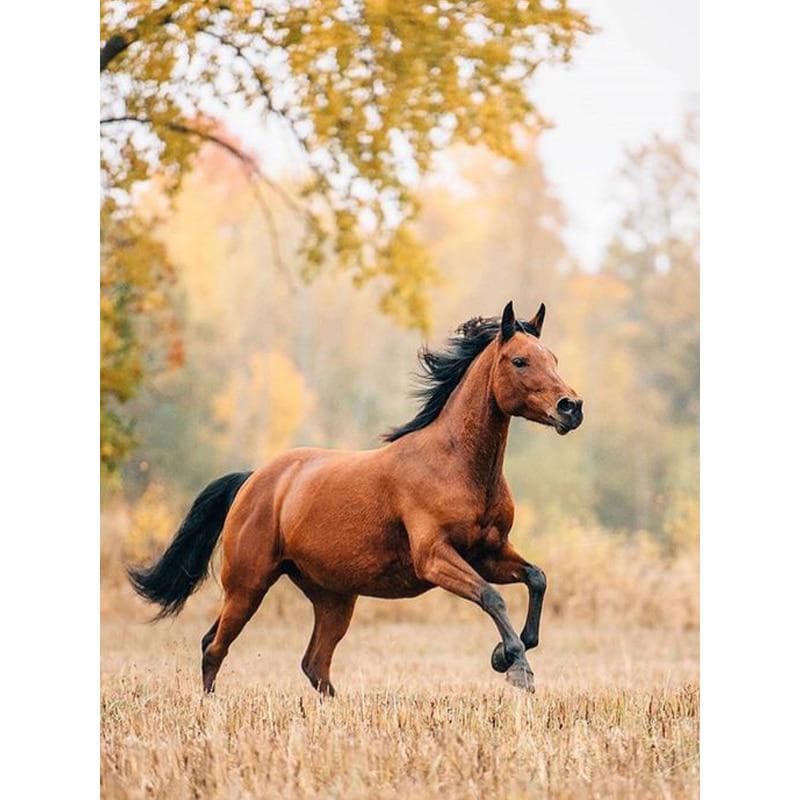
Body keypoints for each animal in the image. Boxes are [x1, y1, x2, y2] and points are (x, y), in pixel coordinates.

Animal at [128, 300, 584, 695]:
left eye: (554, 359)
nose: (571, 407)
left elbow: (537, 578)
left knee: (313, 663)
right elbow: (492, 596)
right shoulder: (435, 557)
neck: (456, 465)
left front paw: (504, 654)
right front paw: (516, 667)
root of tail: (254, 479)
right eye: (519, 361)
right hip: (247, 585)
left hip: (333, 598)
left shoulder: (488, 553)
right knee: (214, 646)